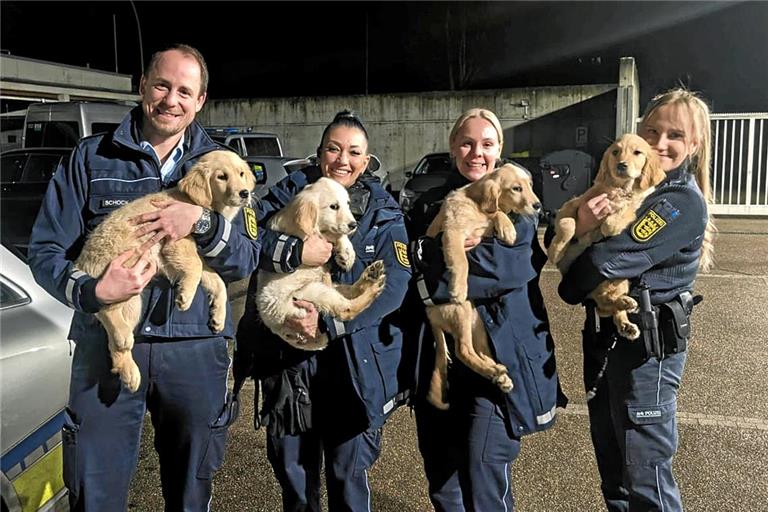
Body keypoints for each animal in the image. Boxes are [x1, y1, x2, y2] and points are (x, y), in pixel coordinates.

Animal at [76, 150, 255, 390]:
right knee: (104, 304)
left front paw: (217, 315)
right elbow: (196, 269)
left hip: (133, 300)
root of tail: (81, 261)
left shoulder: (190, 249)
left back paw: (129, 373)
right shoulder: (176, 240)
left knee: (113, 341)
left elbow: (215, 280)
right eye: (222, 177)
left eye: (241, 173)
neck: (194, 203)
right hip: (126, 265)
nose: (245, 193)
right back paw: (123, 337)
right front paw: (185, 297)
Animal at [258, 177, 388, 352]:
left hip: (329, 287)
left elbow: (338, 234)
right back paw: (374, 288)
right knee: (346, 309)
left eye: (348, 203)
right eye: (334, 207)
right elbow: (331, 233)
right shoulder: (307, 235)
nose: (354, 225)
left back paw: (371, 276)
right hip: (311, 293)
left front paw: (347, 254)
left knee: (352, 291)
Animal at [426, 162, 540, 410]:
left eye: (529, 185)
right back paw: (494, 372)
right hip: (460, 311)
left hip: (476, 323)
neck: (476, 205)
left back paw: (498, 373)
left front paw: (507, 227)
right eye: (516, 188)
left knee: (477, 351)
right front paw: (458, 287)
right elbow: (462, 261)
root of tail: (430, 317)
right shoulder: (453, 234)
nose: (538, 206)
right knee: (462, 351)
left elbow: (496, 213)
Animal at [544, 134, 664, 338]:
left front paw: (610, 223)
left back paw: (626, 312)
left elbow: (616, 219)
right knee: (604, 305)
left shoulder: (632, 208)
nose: (621, 165)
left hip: (618, 279)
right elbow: (568, 225)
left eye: (637, 152)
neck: (619, 188)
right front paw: (555, 251)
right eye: (615, 152)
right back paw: (625, 313)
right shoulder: (572, 205)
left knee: (608, 304)